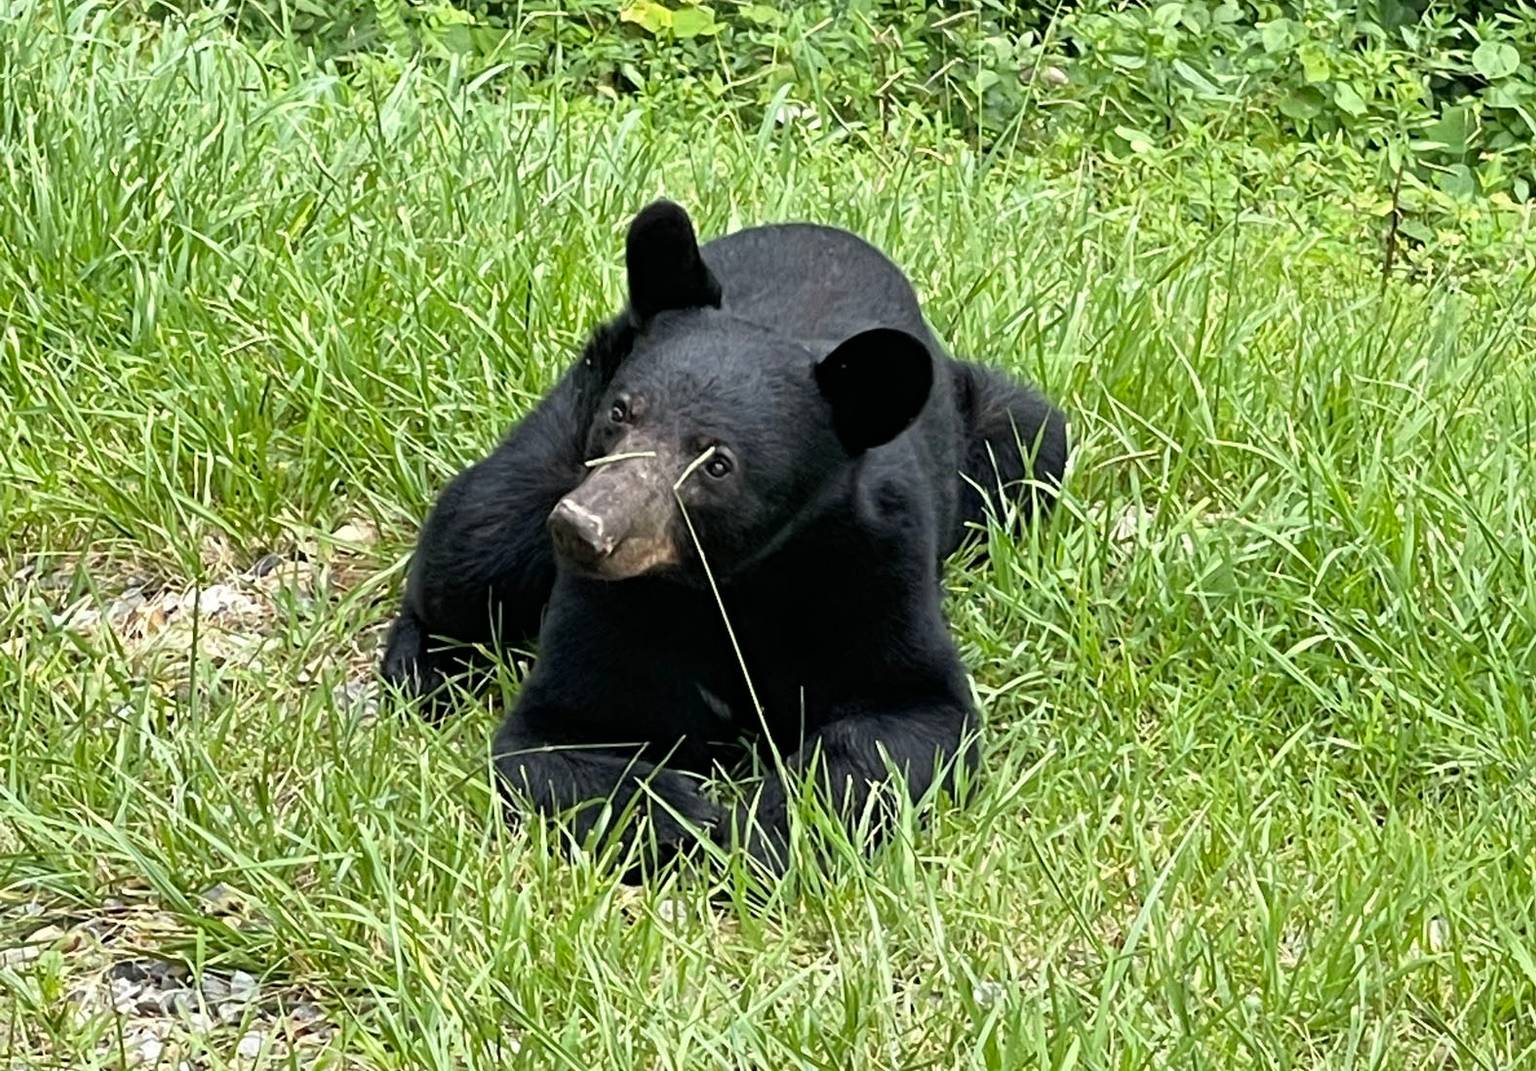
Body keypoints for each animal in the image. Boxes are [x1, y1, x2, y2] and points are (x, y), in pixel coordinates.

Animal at [381, 200, 1068, 875]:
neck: (731, 578)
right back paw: (423, 669)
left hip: (1011, 438)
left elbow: (910, 717)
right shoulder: (612, 604)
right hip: (551, 442)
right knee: (471, 547)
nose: (583, 528)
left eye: (717, 463)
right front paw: (686, 822)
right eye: (622, 412)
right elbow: (558, 734)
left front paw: (760, 834)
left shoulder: (876, 575)